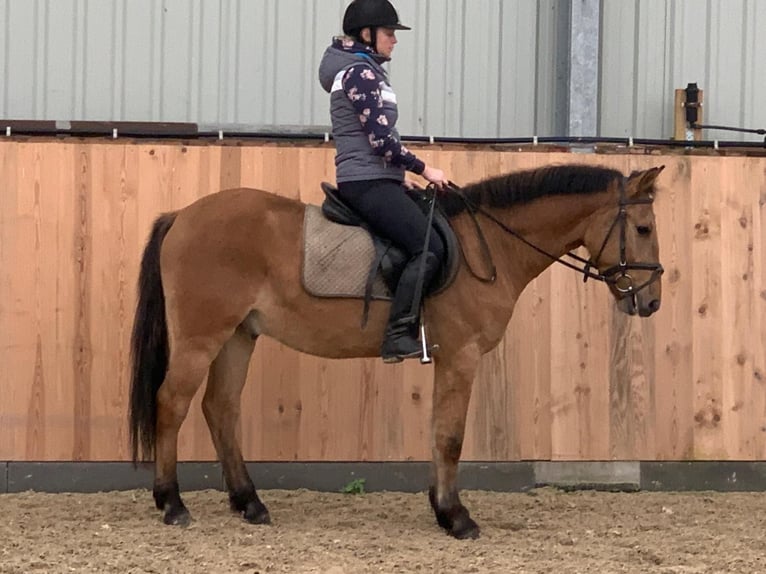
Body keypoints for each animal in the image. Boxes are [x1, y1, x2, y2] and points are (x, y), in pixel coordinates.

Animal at [129, 163, 665, 539]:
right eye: (642, 229)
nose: (652, 302)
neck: (487, 245)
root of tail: (182, 216)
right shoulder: (461, 356)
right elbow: (450, 437)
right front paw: (456, 517)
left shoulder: (450, 358)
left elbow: (438, 432)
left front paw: (441, 508)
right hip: (202, 336)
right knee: (171, 404)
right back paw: (173, 505)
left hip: (239, 335)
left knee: (220, 408)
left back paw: (250, 504)